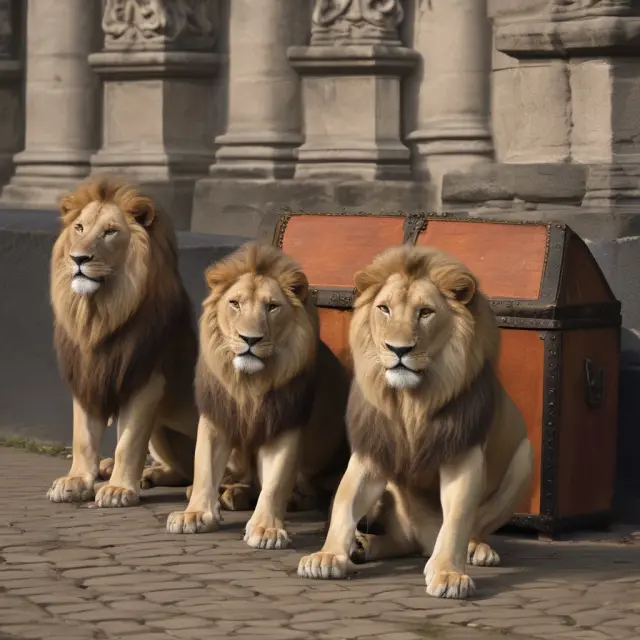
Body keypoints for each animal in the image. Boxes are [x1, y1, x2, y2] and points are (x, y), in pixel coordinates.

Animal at [46, 177, 199, 507]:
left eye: (110, 231)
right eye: (79, 228)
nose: (78, 259)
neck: (99, 316)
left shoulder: (146, 381)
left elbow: (128, 443)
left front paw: (118, 489)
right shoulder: (87, 375)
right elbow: (83, 437)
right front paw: (76, 481)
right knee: (181, 470)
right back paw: (145, 474)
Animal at [166, 242, 351, 549]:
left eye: (272, 307)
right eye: (235, 304)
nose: (249, 339)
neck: (249, 384)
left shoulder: (285, 422)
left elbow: (276, 482)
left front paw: (266, 528)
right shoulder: (217, 415)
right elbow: (204, 466)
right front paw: (195, 513)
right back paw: (229, 493)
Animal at [297, 245, 533, 599]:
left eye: (425, 313)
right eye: (384, 309)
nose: (398, 349)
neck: (411, 401)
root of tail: (423, 540)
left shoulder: (462, 453)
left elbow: (457, 517)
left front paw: (449, 573)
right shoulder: (372, 449)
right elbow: (344, 501)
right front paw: (328, 554)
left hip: (525, 457)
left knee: (472, 527)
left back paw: (476, 550)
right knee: (402, 539)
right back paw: (362, 547)